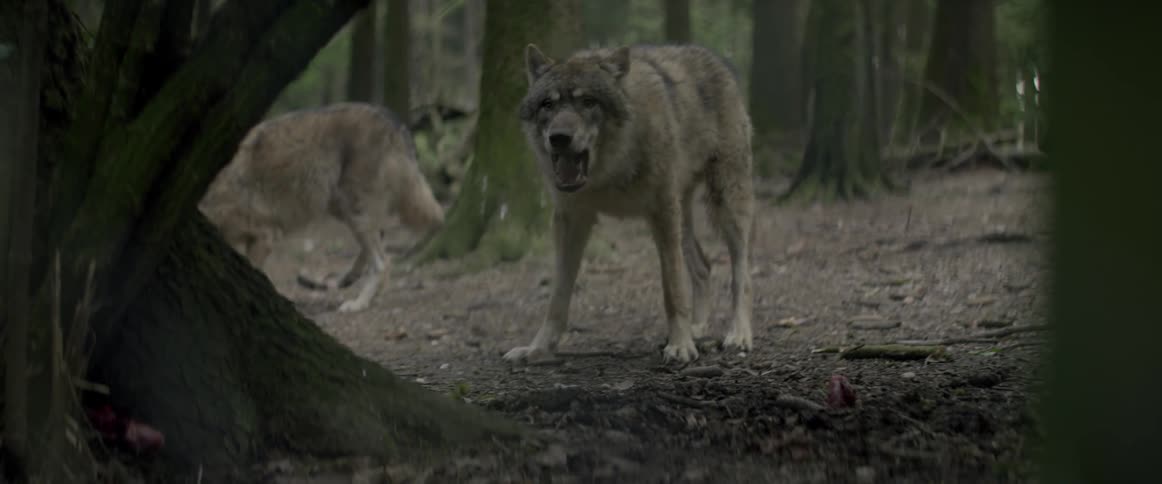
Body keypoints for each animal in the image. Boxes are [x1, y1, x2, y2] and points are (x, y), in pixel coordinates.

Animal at [199, 102, 445, 313]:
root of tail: (394, 121)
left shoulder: (265, 235)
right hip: (342, 208)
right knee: (379, 241)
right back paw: (348, 278)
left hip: (354, 209)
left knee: (382, 262)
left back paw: (358, 303)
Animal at [504, 43, 756, 364]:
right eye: (548, 104)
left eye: (588, 102)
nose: (559, 138)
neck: (609, 172)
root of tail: (716, 59)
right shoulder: (570, 220)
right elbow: (557, 296)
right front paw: (538, 349)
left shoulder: (662, 212)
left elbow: (673, 287)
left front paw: (680, 345)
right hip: (683, 220)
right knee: (703, 266)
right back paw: (698, 328)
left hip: (727, 205)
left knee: (741, 274)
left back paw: (738, 334)